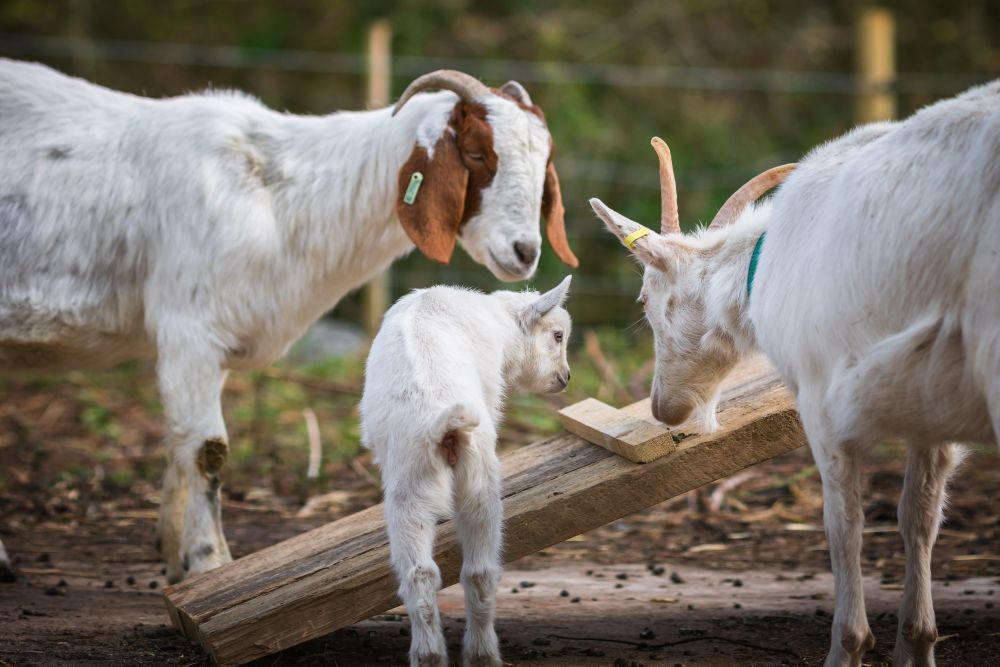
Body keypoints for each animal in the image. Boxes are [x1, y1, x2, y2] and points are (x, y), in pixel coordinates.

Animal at [0, 59, 578, 583]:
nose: (525, 251)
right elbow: (207, 450)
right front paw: (209, 563)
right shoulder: (190, 327)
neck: (278, 197)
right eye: (477, 152)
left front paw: (173, 554)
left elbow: (178, 443)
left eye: (544, 161)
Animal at [360, 277, 572, 667]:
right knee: (478, 570)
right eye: (558, 335)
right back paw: (480, 654)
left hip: (414, 484)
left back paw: (433, 655)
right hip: (474, 477)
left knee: (424, 573)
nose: (564, 378)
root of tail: (444, 423)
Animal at [590, 80, 999, 667]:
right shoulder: (930, 406)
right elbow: (917, 515)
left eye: (644, 300)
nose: (664, 408)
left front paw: (848, 645)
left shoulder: (821, 398)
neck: (764, 262)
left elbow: (843, 524)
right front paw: (915, 643)